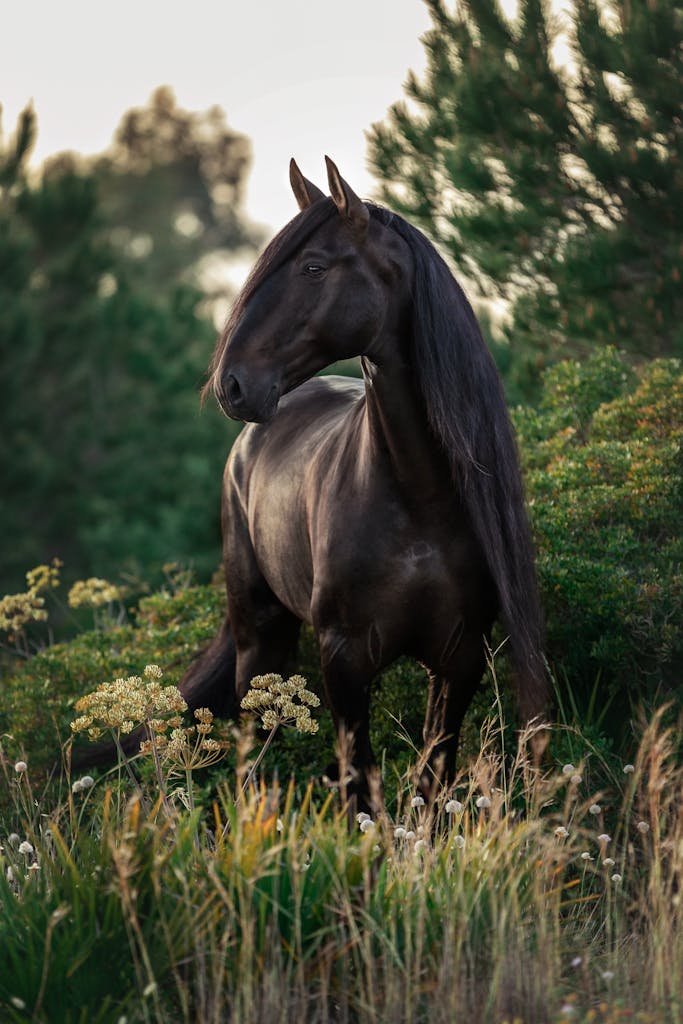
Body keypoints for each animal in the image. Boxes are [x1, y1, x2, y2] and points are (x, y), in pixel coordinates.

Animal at [178, 157, 546, 809]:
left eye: (314, 266)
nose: (233, 385)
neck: (419, 497)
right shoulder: (345, 659)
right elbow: (359, 788)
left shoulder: (459, 659)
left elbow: (431, 781)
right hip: (259, 638)